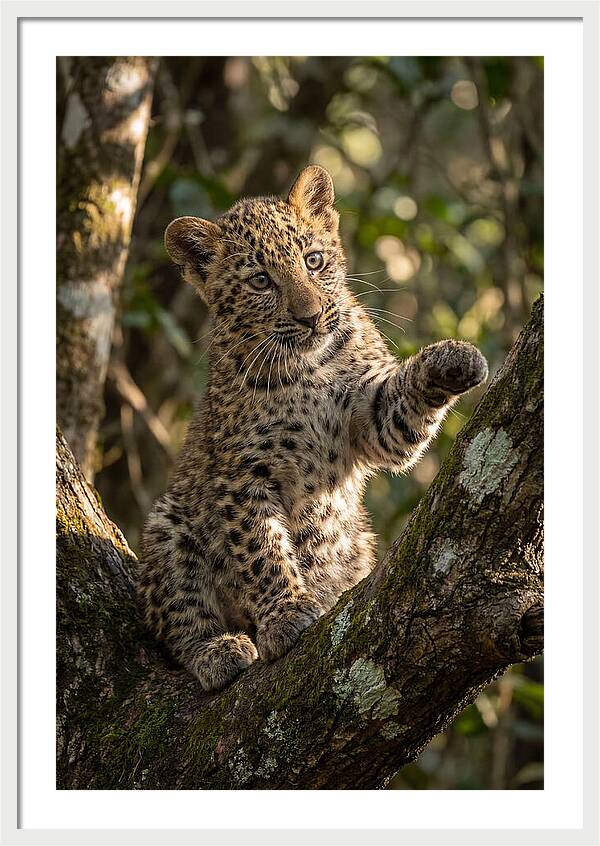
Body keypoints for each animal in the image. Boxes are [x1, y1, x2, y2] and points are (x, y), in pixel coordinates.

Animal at [137, 165, 488, 692]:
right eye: (261, 281)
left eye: (314, 260)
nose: (311, 316)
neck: (308, 369)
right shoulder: (243, 476)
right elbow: (261, 549)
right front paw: (285, 614)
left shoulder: (370, 420)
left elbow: (398, 409)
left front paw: (454, 358)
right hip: (169, 524)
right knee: (177, 621)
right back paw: (218, 650)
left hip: (357, 542)